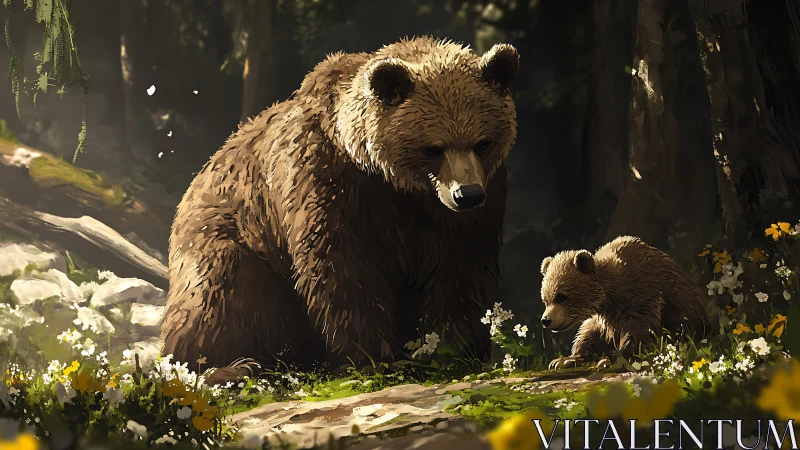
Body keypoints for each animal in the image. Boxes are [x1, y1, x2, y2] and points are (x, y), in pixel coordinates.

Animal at [160, 37, 521, 381]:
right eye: (433, 148)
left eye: (482, 143)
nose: (467, 195)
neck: (396, 182)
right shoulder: (330, 184)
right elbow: (341, 268)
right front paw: (372, 356)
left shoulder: (469, 205)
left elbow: (459, 270)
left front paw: (451, 349)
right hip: (229, 233)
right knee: (221, 294)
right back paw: (231, 366)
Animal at [539, 235, 709, 370]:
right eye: (545, 299)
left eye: (561, 297)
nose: (546, 320)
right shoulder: (603, 316)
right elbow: (590, 333)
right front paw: (563, 360)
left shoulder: (642, 293)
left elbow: (638, 329)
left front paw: (612, 359)